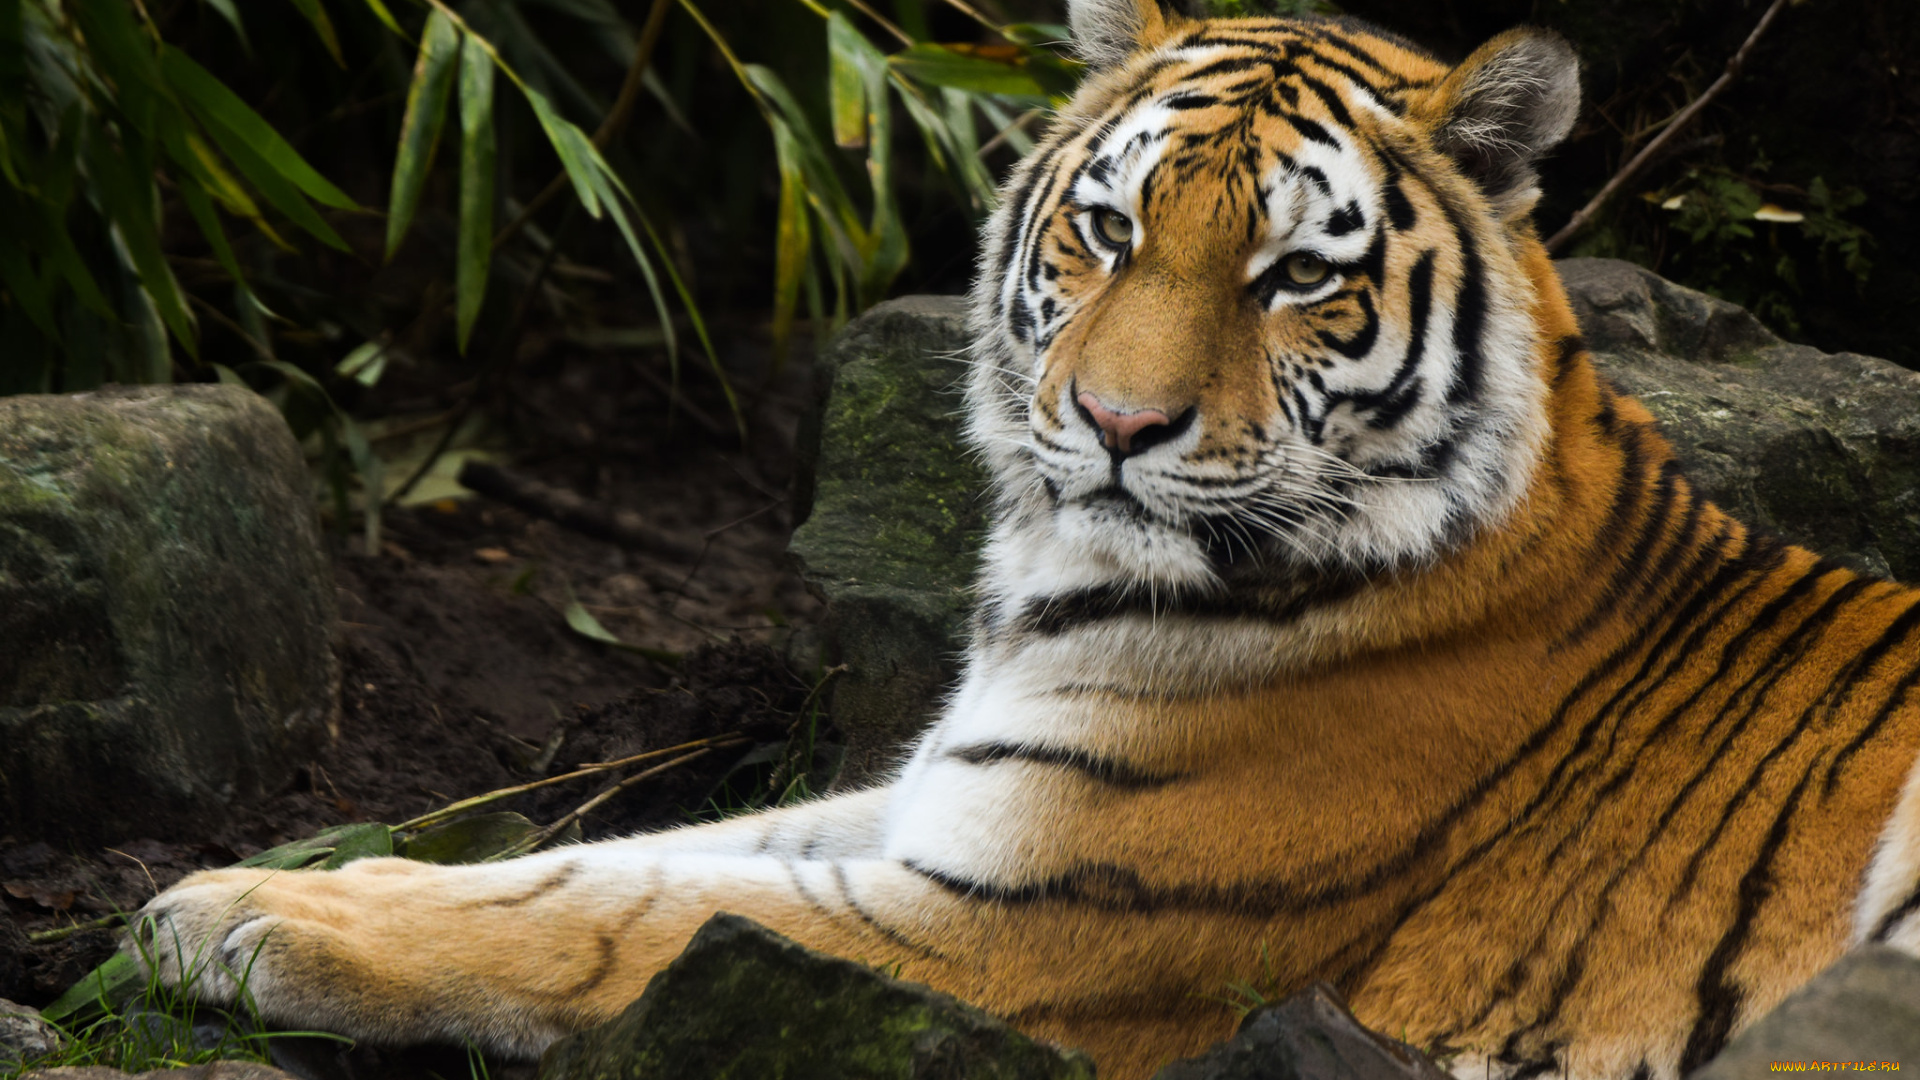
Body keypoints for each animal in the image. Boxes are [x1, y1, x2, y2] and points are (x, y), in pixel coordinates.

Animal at [133, 2, 1920, 1078]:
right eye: (1112, 230)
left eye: (1297, 275)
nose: (1121, 426)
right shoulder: (948, 802)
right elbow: (611, 856)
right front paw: (296, 876)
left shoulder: (1027, 932)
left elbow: (622, 922)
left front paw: (245, 927)